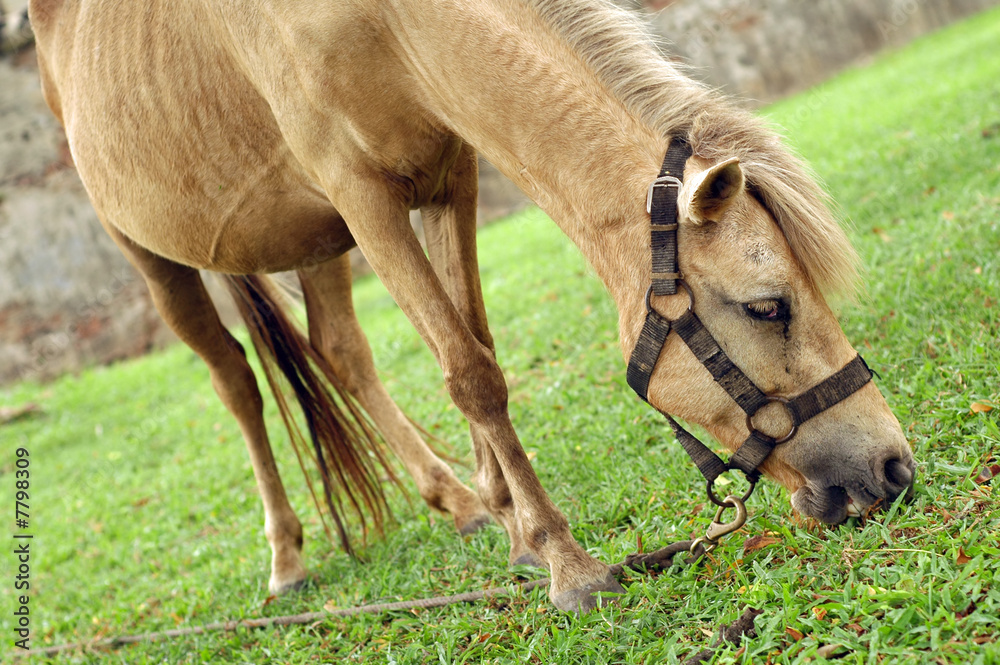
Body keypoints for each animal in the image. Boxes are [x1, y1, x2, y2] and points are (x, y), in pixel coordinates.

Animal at [28, 0, 915, 612]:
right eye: (768, 307)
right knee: (236, 382)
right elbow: (469, 374)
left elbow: (476, 343)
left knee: (340, 347)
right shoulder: (363, 199)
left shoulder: (449, 173)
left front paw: (515, 526)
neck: (382, 22)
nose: (893, 467)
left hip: (311, 241)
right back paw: (287, 557)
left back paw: (453, 502)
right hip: (148, 253)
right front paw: (568, 565)